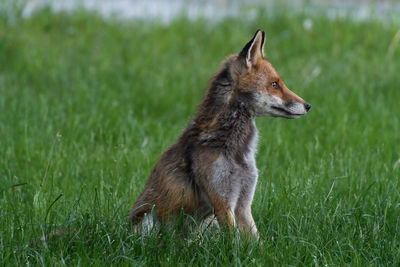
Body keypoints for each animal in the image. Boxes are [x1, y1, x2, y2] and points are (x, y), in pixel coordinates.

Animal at [130, 29, 310, 239]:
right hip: (149, 221)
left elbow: (256, 242)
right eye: (274, 84)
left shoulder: (243, 204)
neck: (237, 154)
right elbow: (234, 242)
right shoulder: (222, 203)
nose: (308, 105)